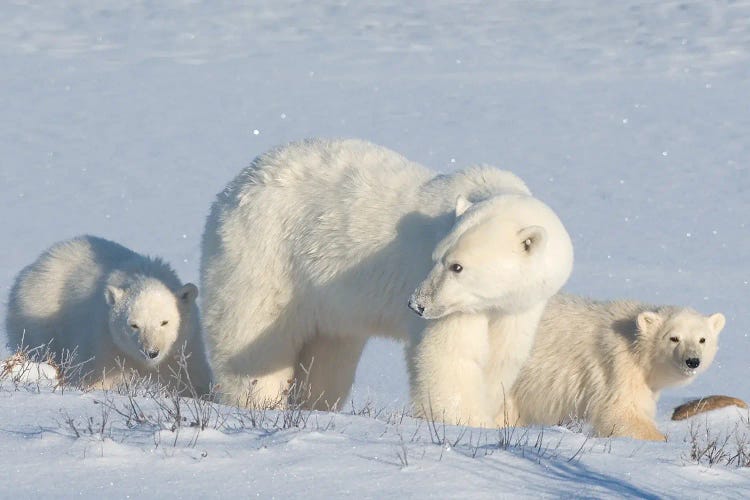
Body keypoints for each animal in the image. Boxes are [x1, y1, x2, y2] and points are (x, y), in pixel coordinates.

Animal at [5, 234, 213, 394]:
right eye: (134, 325)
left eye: (164, 322)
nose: (152, 352)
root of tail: (38, 263)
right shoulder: (107, 342)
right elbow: (95, 376)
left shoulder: (183, 348)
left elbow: (193, 379)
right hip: (40, 316)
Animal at [201, 138, 576, 410]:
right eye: (435, 258)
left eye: (457, 266)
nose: (417, 304)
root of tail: (231, 190)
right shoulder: (455, 310)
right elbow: (449, 359)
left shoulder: (516, 307)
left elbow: (499, 360)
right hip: (266, 252)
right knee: (252, 336)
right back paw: (257, 400)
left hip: (328, 301)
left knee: (329, 356)